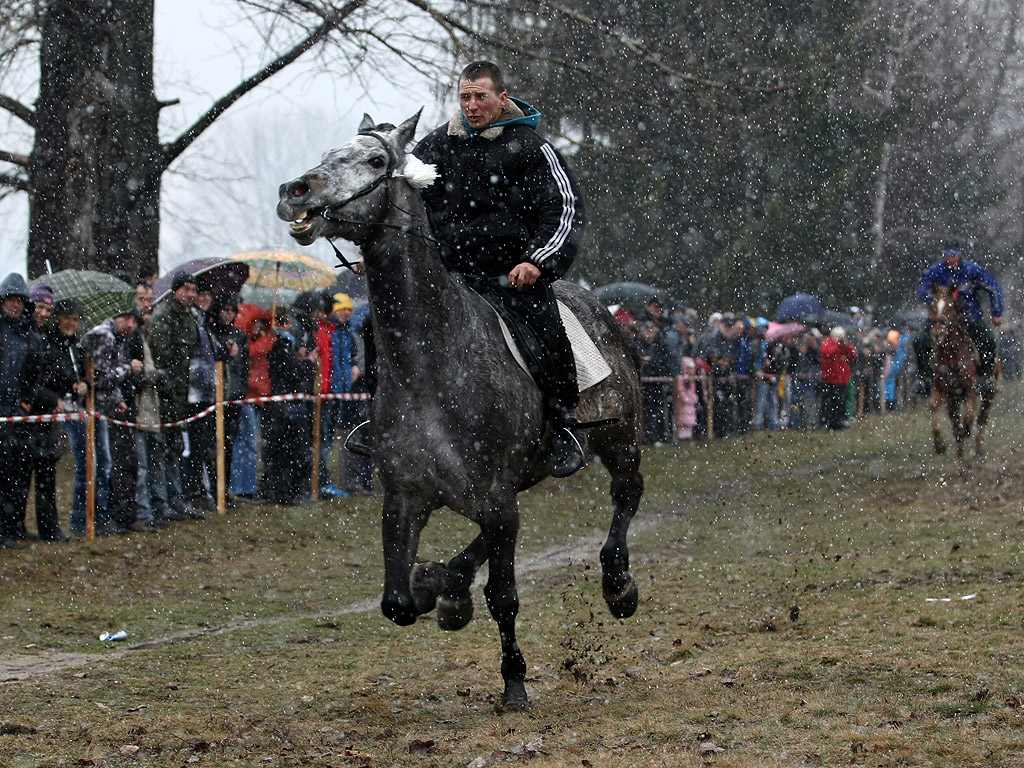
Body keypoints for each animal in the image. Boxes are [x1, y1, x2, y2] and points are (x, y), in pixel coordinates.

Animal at [276, 112, 643, 708]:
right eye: (330, 153)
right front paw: (434, 585)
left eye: (375, 161)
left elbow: (505, 596)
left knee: (626, 495)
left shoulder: (494, 497)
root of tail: (600, 306)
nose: (296, 191)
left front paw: (514, 681)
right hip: (522, 474)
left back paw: (617, 583)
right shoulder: (406, 497)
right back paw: (449, 583)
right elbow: (397, 602)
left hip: (619, 438)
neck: (432, 365)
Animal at [925, 286, 995, 460]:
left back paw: (977, 448)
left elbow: (969, 416)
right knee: (956, 418)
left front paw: (966, 431)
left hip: (988, 392)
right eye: (933, 306)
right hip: (954, 398)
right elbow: (934, 406)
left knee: (982, 418)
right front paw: (940, 445)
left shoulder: (971, 388)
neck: (951, 356)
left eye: (950, 307)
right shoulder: (942, 388)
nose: (938, 331)